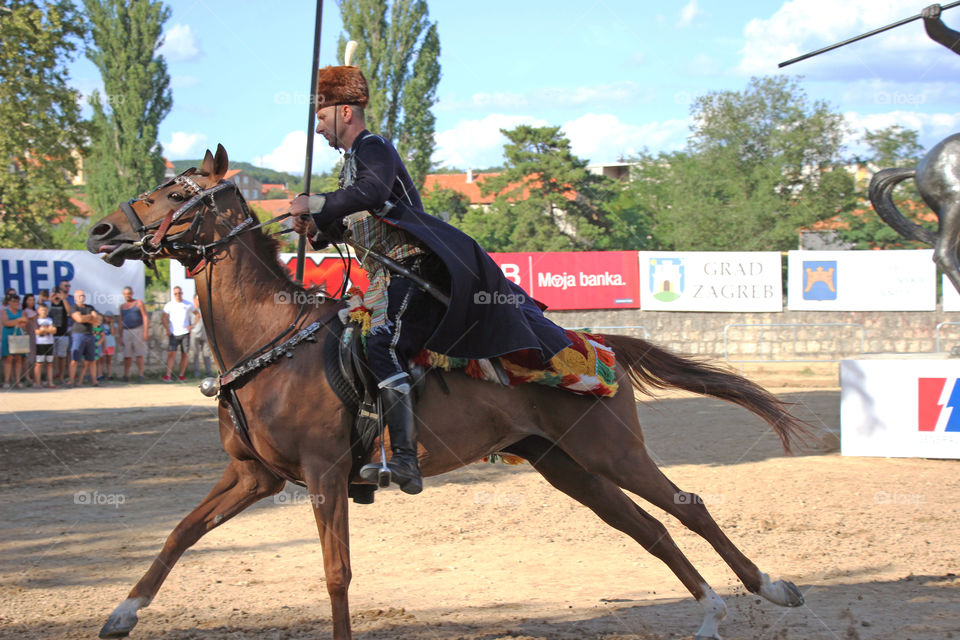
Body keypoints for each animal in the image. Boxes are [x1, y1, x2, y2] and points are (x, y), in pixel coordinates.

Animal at [88, 145, 808, 640]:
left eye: (174, 189)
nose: (100, 231)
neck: (275, 342)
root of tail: (588, 342)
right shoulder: (252, 476)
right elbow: (181, 533)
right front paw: (121, 613)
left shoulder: (325, 475)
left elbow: (336, 574)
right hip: (565, 465)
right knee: (648, 528)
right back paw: (711, 612)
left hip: (611, 451)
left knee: (688, 505)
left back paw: (770, 588)